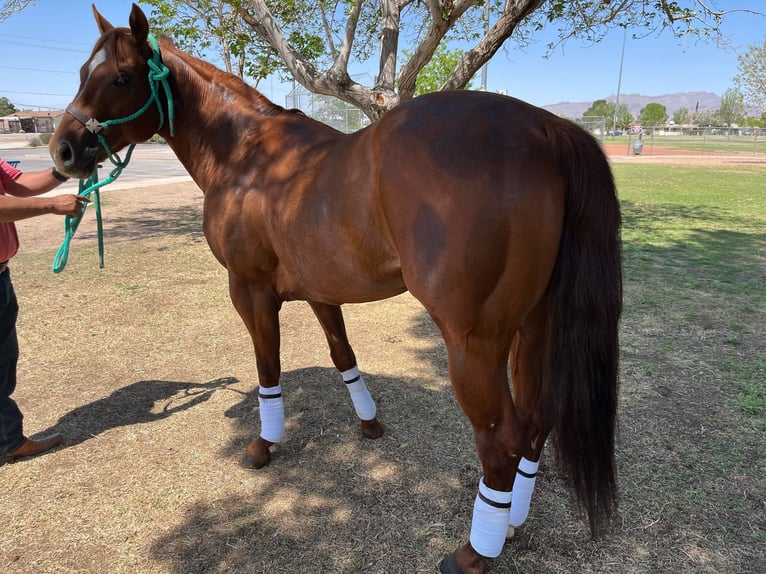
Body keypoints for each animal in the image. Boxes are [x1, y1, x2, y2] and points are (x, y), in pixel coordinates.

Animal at [50, 5, 622, 573]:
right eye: (81, 73)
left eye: (121, 78)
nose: (63, 151)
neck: (246, 153)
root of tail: (545, 127)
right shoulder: (320, 288)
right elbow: (342, 352)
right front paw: (369, 424)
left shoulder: (249, 288)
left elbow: (268, 364)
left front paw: (264, 443)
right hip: (534, 326)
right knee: (536, 421)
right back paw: (513, 523)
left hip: (474, 342)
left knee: (503, 439)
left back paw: (476, 551)